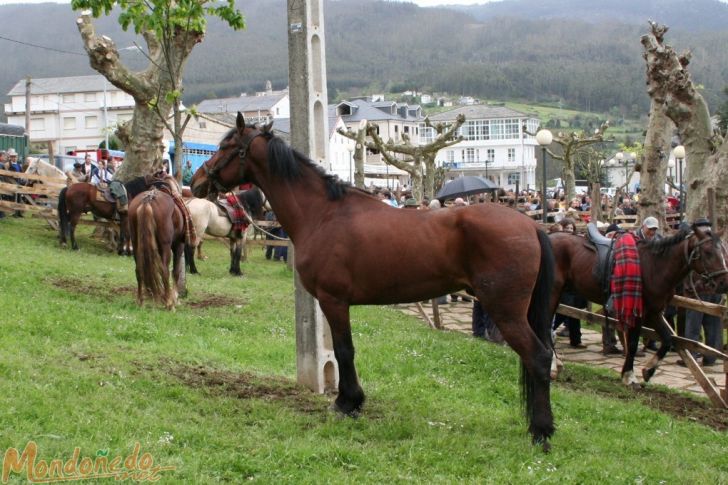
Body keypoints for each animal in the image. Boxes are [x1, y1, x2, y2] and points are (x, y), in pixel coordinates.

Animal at [189, 113, 556, 450]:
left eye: (226, 147)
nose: (196, 182)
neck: (322, 214)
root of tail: (531, 226)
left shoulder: (333, 300)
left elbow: (343, 351)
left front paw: (347, 403)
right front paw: (350, 401)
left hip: (505, 311)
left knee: (538, 357)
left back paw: (541, 432)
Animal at [552, 227, 728, 386]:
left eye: (722, 251)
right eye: (707, 252)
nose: (722, 283)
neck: (655, 267)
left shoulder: (654, 313)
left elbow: (667, 339)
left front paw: (648, 370)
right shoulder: (639, 313)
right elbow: (633, 344)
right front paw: (629, 376)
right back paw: (555, 365)